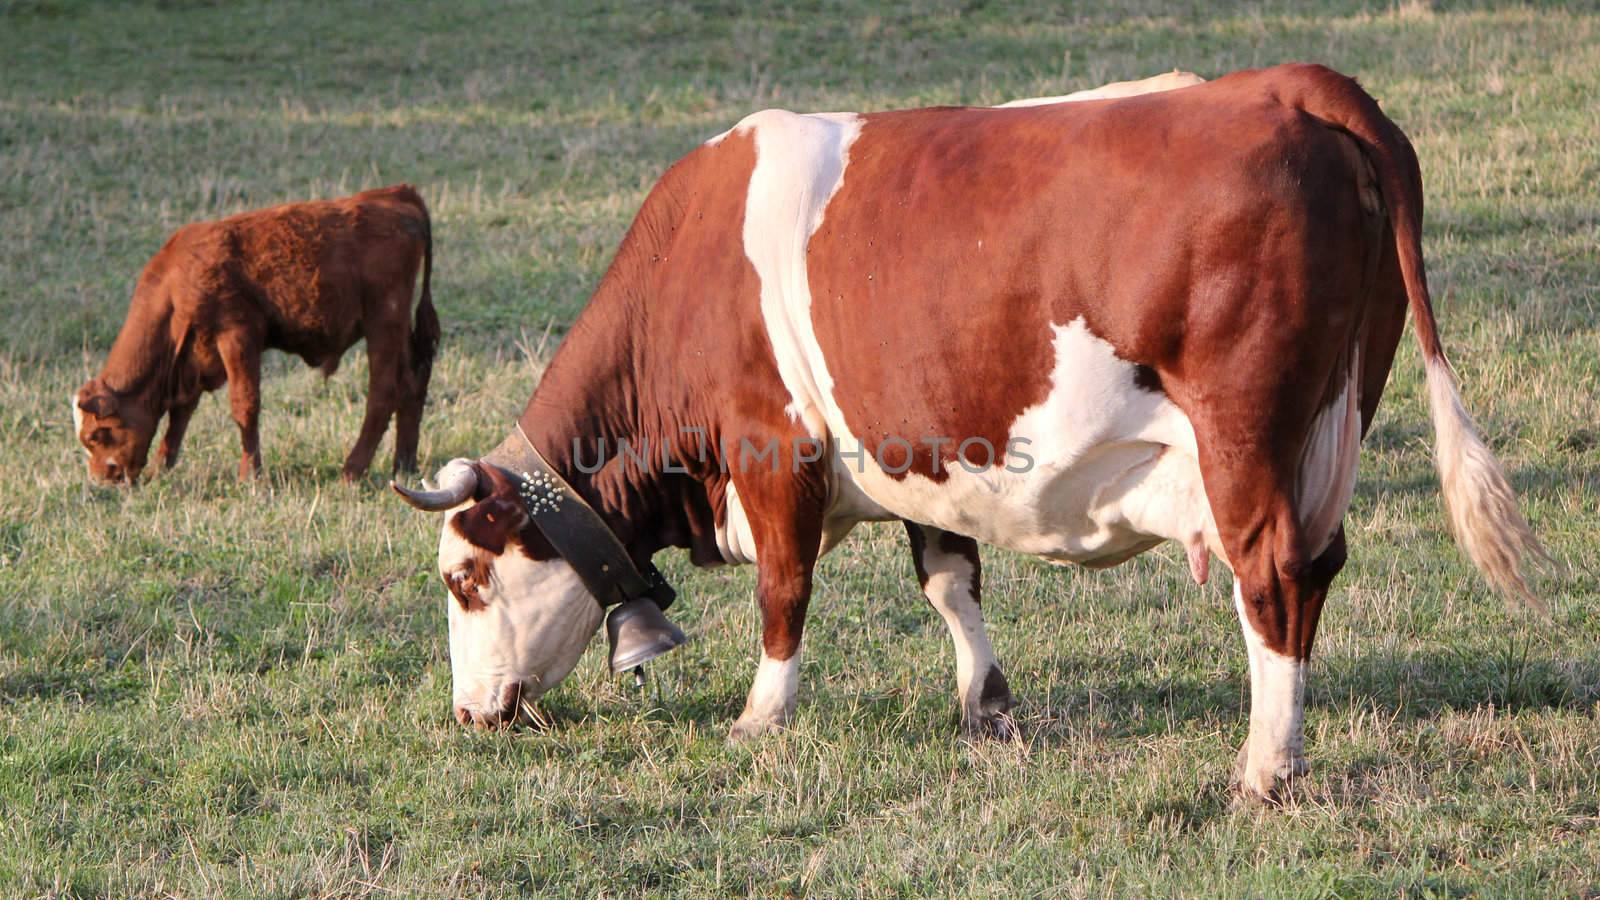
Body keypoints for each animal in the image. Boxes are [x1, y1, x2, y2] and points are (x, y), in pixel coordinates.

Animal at [73, 183, 438, 486]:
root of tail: (398, 195)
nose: (101, 479)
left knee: (383, 393)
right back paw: (404, 465)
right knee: (411, 384)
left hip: (383, 322)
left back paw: (353, 470)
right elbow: (180, 414)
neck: (175, 285)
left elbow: (244, 406)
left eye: (95, 436)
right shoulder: (193, 358)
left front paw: (250, 477)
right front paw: (162, 467)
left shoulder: (237, 336)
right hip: (398, 328)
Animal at [387, 66, 1536, 800]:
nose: (468, 713)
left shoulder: (774, 447)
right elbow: (949, 579)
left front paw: (761, 716)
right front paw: (987, 707)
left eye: (465, 580)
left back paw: (1267, 768)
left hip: (1243, 439)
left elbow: (784, 593)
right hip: (1332, 425)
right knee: (1321, 565)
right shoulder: (916, 456)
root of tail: (1293, 82)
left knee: (1274, 576)